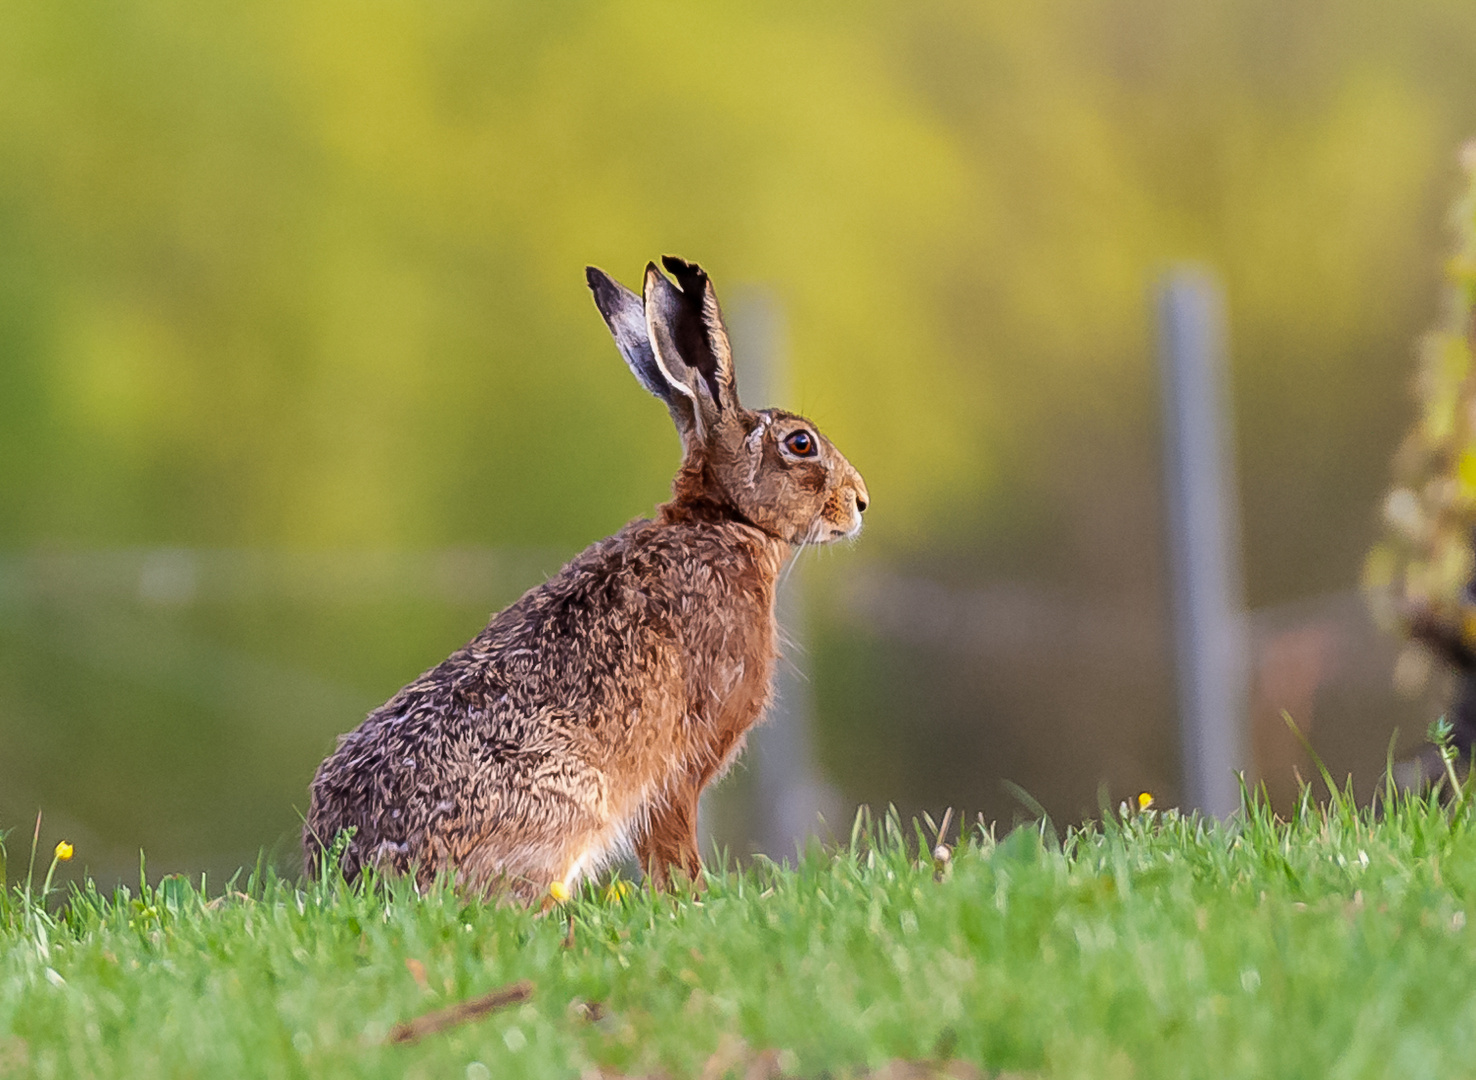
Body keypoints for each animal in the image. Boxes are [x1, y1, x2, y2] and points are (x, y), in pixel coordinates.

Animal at [303, 255, 868, 902]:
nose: (860, 502)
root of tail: (355, 871)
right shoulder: (680, 762)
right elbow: (673, 843)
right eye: (801, 444)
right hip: (571, 801)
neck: (725, 520)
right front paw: (694, 900)